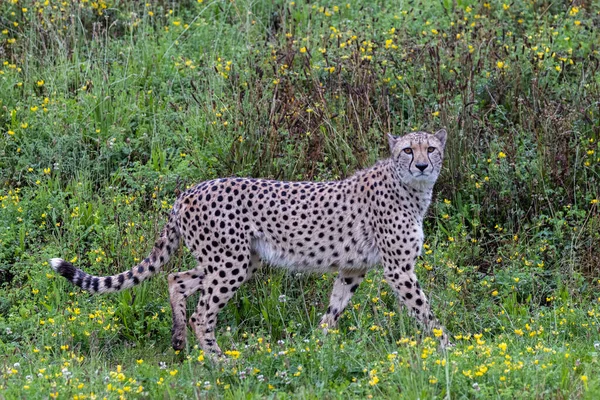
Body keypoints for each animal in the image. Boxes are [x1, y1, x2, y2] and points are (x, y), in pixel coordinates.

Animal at [51, 128, 450, 354]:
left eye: (430, 149)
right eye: (407, 151)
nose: (422, 166)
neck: (410, 188)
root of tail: (188, 191)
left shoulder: (352, 269)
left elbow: (333, 310)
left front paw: (317, 349)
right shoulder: (398, 269)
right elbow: (427, 312)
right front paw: (449, 351)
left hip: (237, 259)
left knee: (176, 278)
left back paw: (179, 341)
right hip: (230, 263)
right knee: (202, 314)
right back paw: (221, 365)